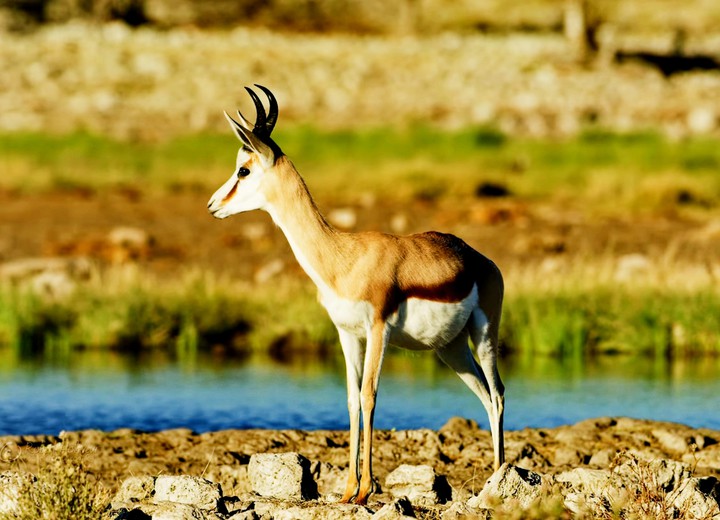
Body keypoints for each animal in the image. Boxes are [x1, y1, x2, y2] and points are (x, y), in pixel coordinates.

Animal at [208, 85, 505, 505]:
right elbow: (350, 399)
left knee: (497, 394)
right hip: (451, 350)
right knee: (483, 395)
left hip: (484, 337)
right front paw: (348, 491)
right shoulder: (348, 334)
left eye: (244, 169)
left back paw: (499, 478)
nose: (213, 204)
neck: (343, 258)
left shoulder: (379, 329)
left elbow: (369, 395)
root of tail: (483, 261)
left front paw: (365, 491)